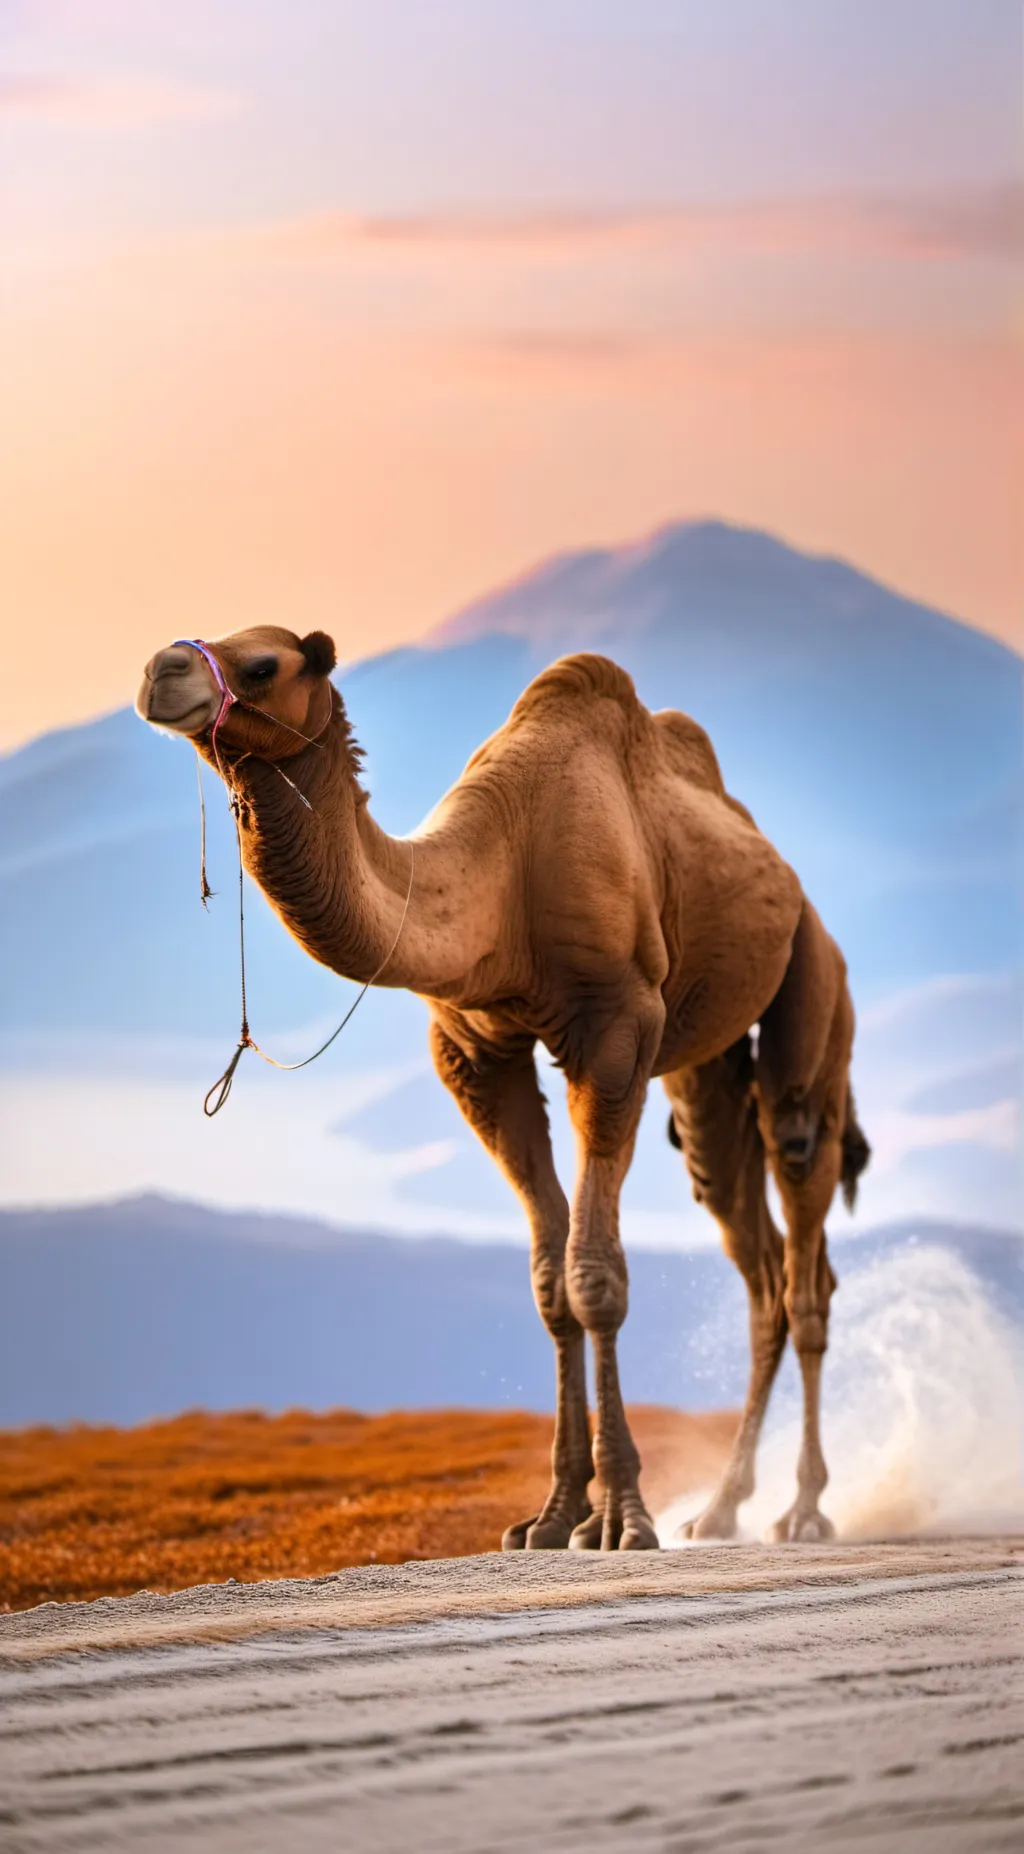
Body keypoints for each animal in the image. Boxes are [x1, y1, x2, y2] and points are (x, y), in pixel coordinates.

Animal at [137, 628, 869, 1550]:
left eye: (263, 663)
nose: (159, 671)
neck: (502, 876)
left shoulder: (616, 1029)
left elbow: (595, 1276)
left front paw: (622, 1518)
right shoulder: (475, 1051)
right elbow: (550, 1283)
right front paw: (551, 1516)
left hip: (813, 984)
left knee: (804, 1216)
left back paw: (803, 1510)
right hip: (704, 1065)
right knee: (753, 1253)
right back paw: (722, 1506)